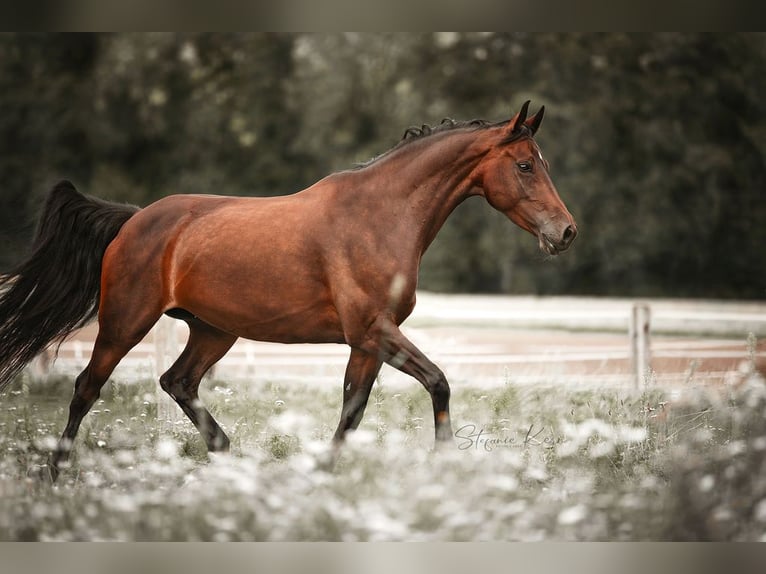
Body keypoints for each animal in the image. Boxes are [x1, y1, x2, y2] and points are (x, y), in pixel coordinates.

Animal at [0, 101, 577, 480]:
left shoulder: (367, 342)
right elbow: (437, 383)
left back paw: (231, 459)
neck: (379, 216)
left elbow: (353, 408)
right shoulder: (375, 331)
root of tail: (135, 219)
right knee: (87, 388)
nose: (566, 232)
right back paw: (57, 474)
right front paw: (445, 467)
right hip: (125, 322)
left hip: (213, 331)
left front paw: (323, 474)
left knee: (177, 382)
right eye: (525, 165)